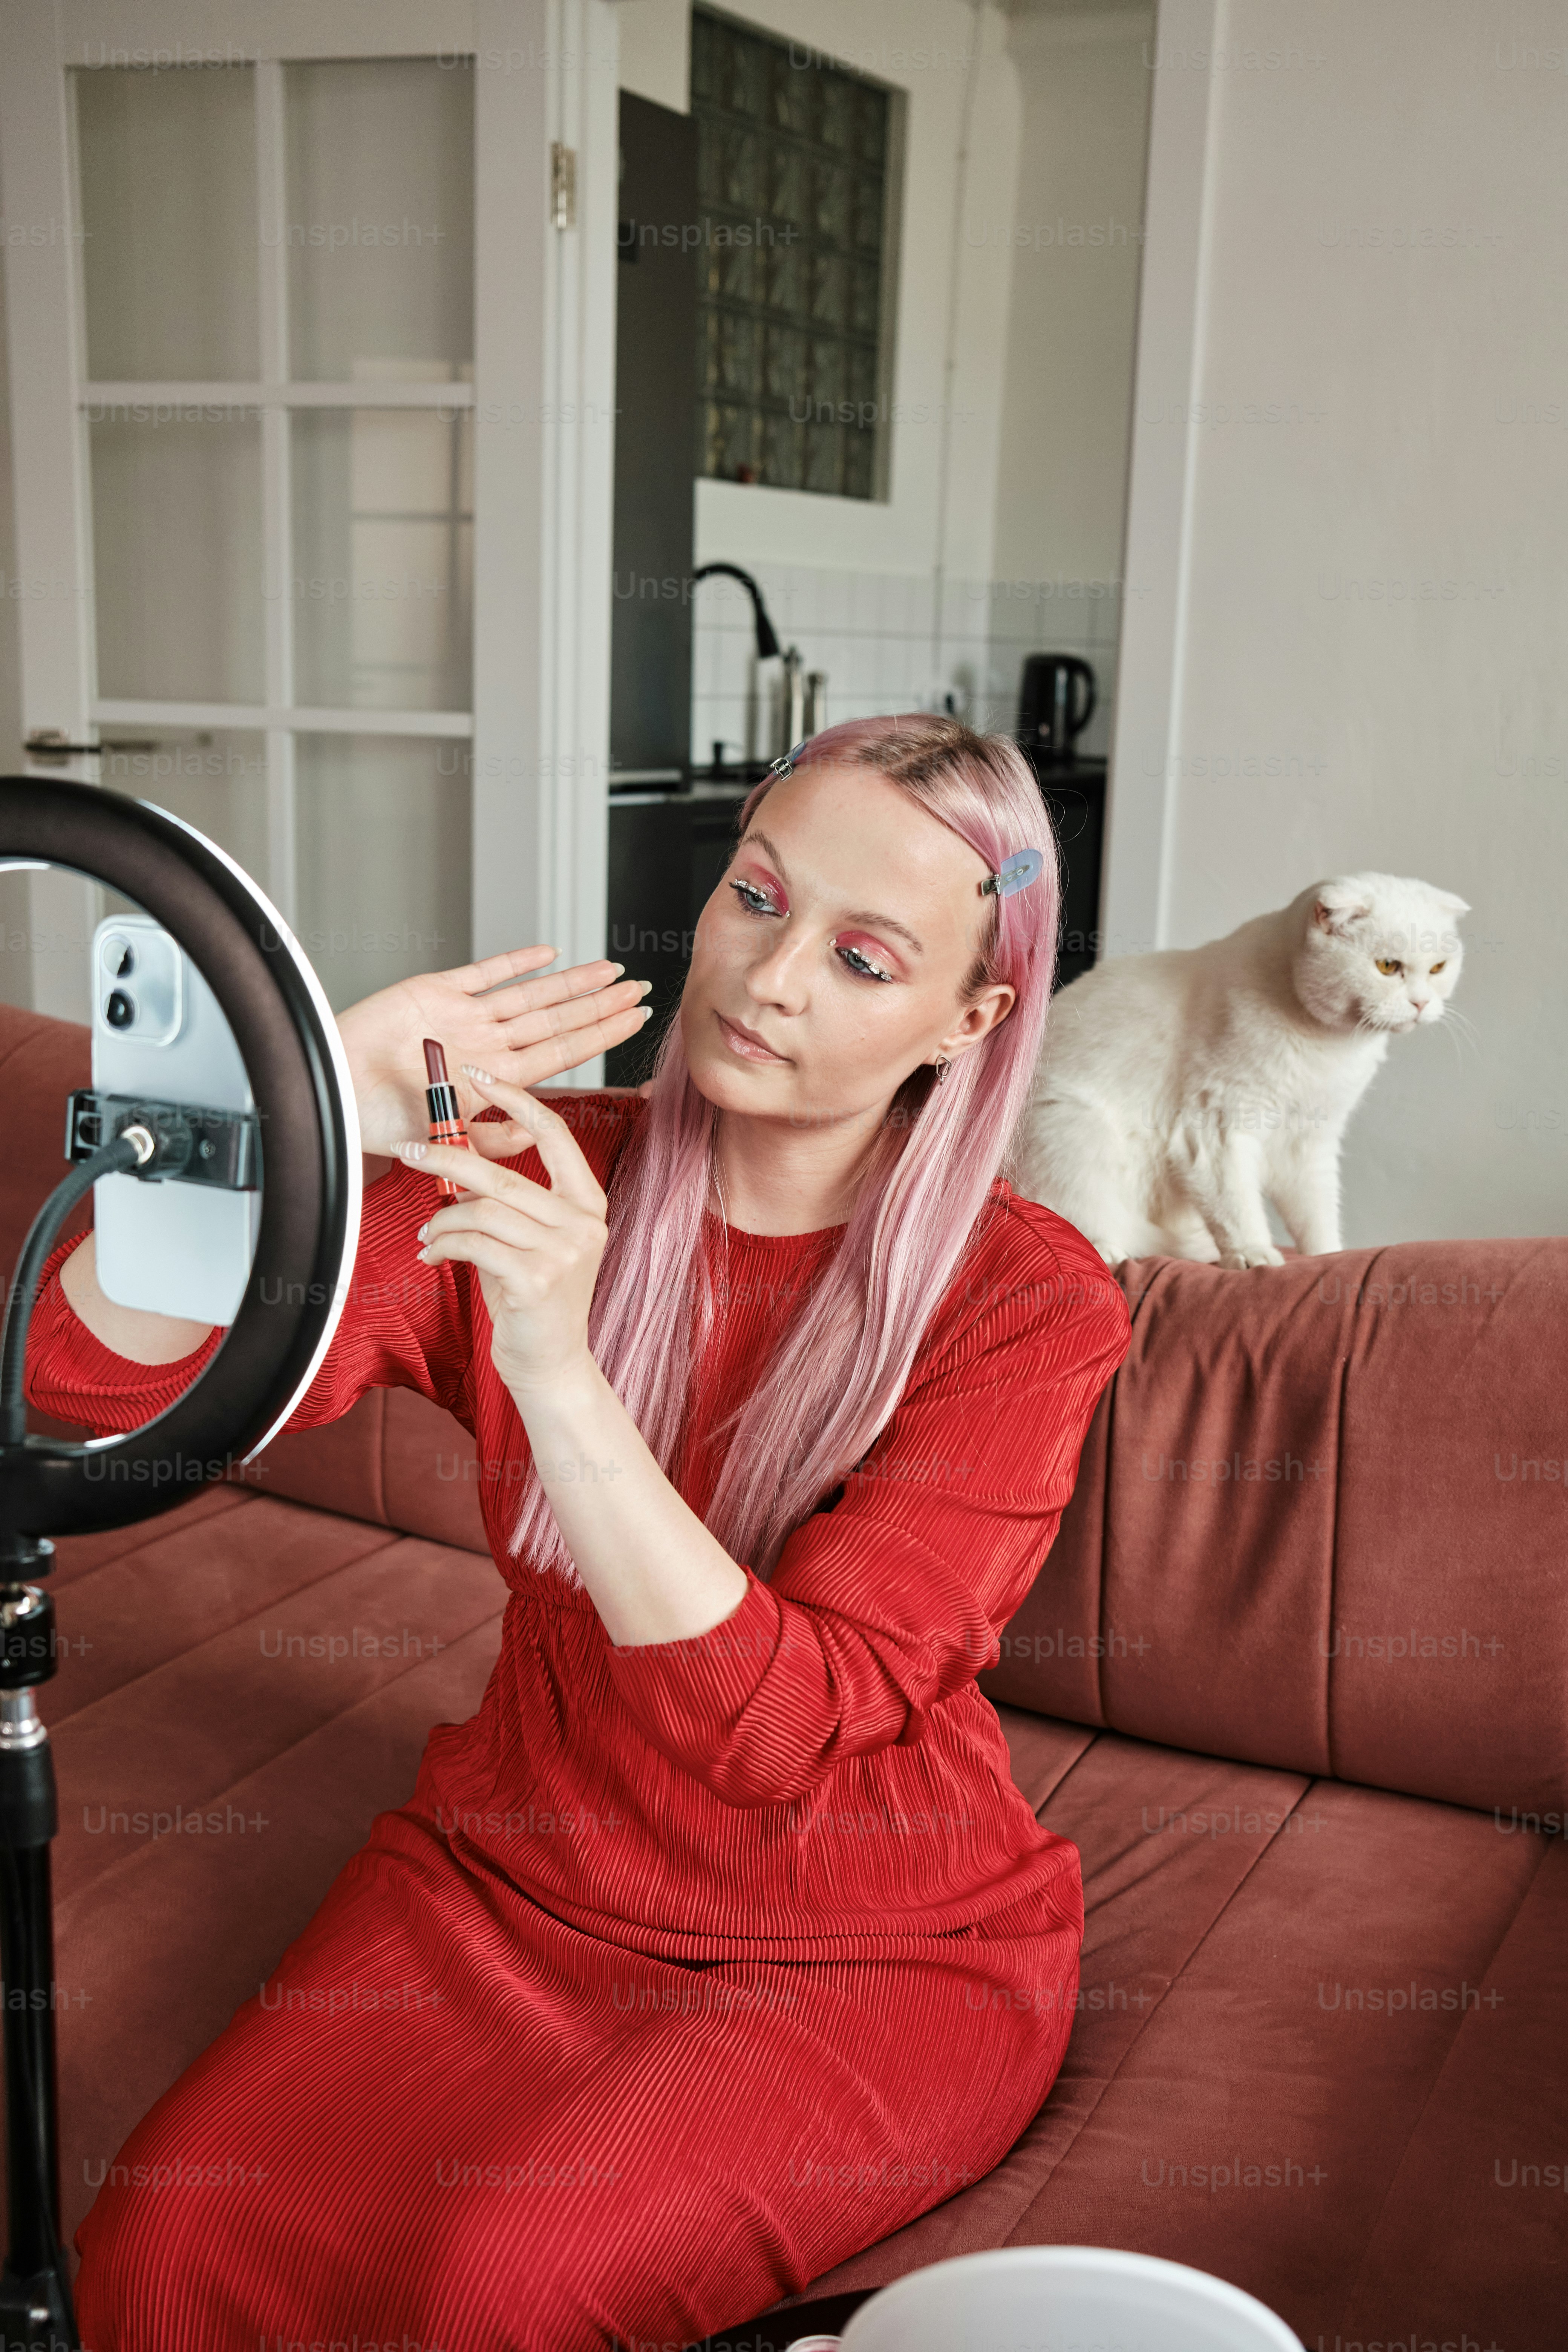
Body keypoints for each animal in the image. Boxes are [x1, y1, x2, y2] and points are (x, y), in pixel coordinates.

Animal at [1020, 875, 1476, 1270]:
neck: (1333, 1048)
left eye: (1438, 968)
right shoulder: (1215, 1128)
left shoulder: (1310, 1141)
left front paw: (1328, 1257)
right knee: (1082, 1214)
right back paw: (1106, 1248)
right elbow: (1236, 1204)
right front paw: (1254, 1255)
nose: (1421, 1004)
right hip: (1071, 1126)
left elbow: (1316, 1213)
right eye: (1387, 967)